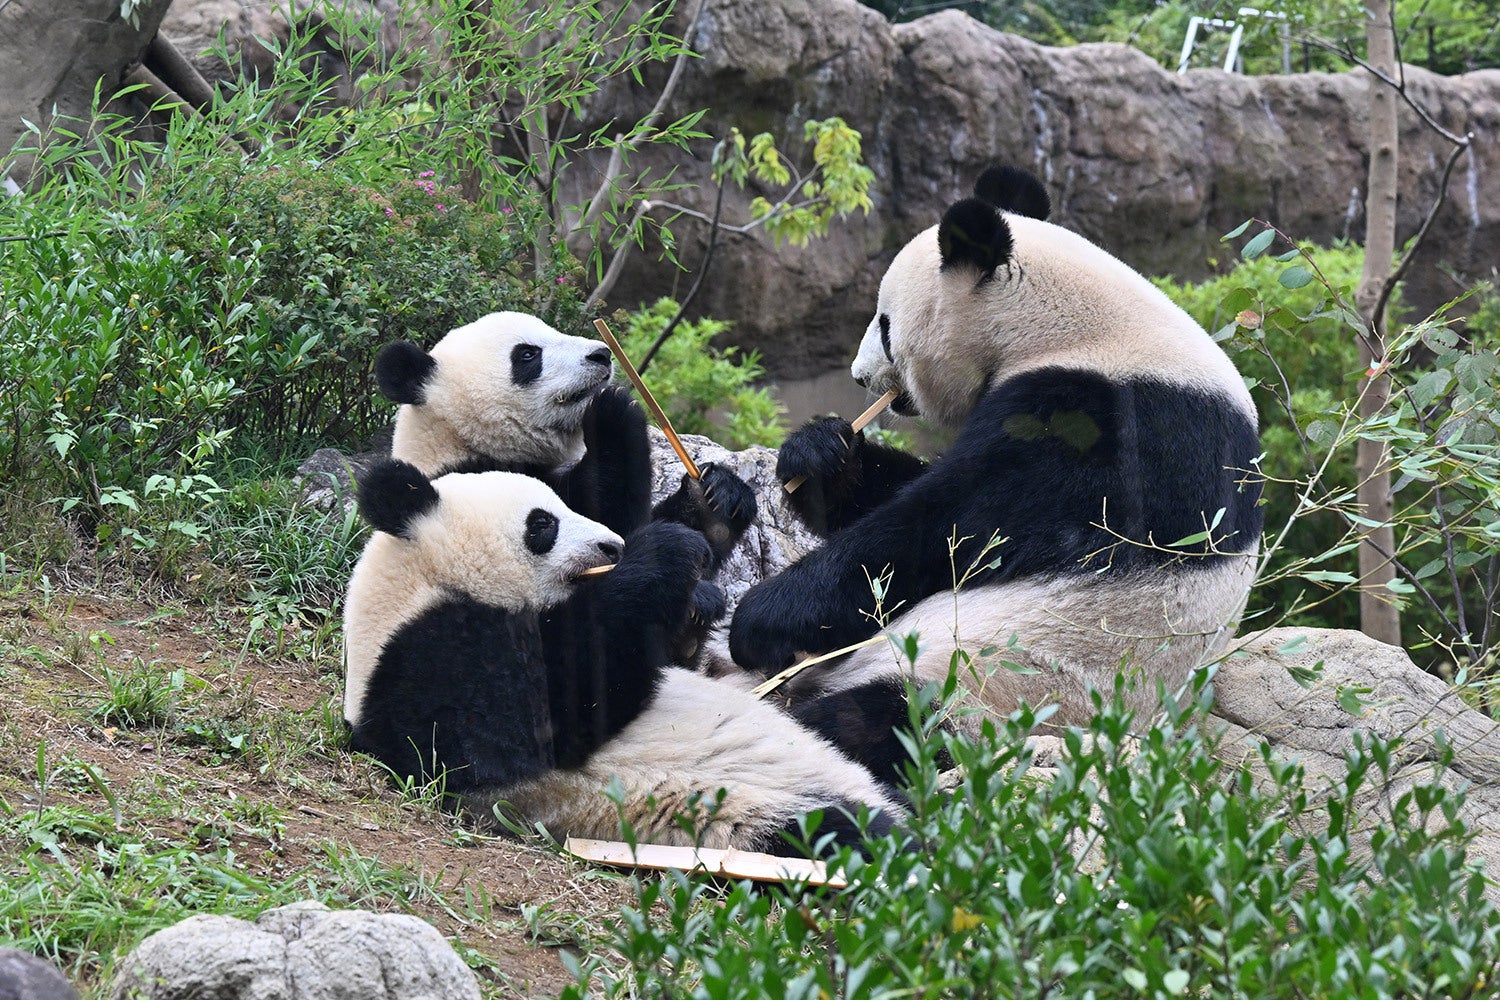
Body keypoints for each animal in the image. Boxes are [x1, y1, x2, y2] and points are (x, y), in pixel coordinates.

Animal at [343, 459, 901, 855]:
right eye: (542, 524)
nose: (611, 545)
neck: (419, 585)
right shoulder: (425, 659)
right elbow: (539, 721)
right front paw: (659, 554)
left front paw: (711, 511)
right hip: (745, 811)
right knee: (847, 834)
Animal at [373, 311, 757, 662]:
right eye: (528, 354)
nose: (601, 354)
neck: (462, 440)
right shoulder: (480, 479)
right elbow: (611, 518)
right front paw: (613, 408)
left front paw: (715, 500)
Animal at [729, 165, 1263, 731]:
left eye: (885, 327)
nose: (858, 377)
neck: (1069, 328)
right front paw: (819, 455)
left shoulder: (1105, 427)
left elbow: (939, 533)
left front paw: (760, 622)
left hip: (985, 692)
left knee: (868, 721)